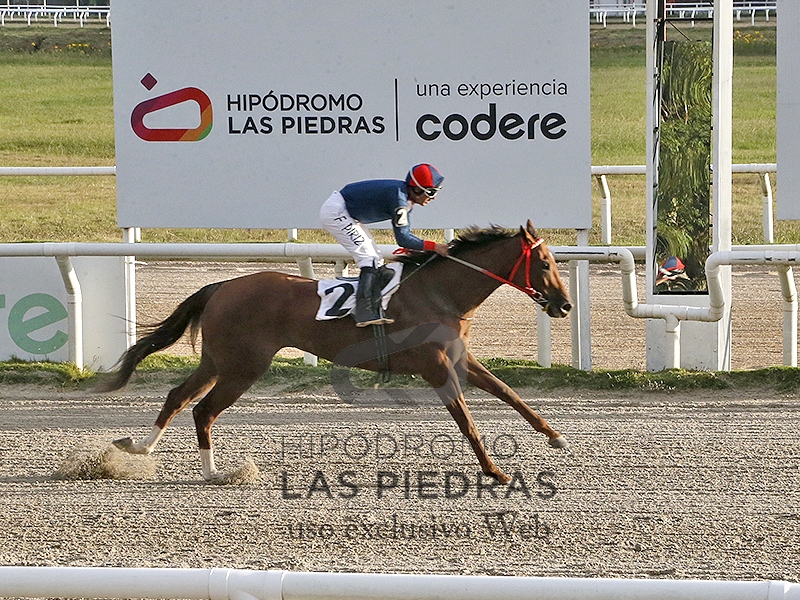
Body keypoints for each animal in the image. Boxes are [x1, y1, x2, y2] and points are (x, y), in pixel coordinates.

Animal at [100, 221, 572, 484]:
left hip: (218, 361)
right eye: (545, 264)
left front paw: (556, 437)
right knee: (204, 409)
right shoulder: (436, 368)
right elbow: (468, 423)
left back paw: (141, 448)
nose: (564, 305)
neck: (439, 292)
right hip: (243, 367)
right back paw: (213, 472)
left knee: (179, 396)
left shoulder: (460, 359)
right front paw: (495, 472)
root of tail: (222, 286)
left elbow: (510, 394)